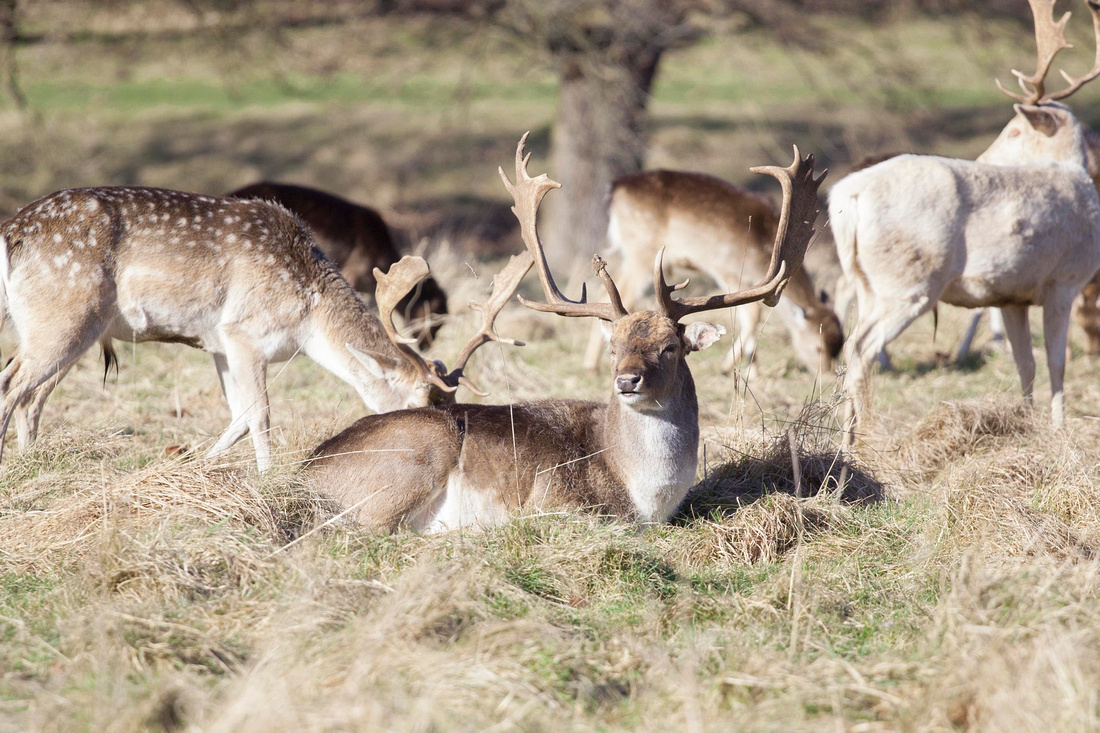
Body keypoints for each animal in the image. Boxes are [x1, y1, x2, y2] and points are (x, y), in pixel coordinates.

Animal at [585, 169, 840, 378]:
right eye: (818, 347)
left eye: (838, 347)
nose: (827, 373)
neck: (763, 250)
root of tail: (615, 188)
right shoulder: (728, 269)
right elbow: (752, 313)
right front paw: (732, 368)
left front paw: (751, 370)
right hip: (641, 250)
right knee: (622, 294)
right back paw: (592, 366)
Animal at [827, 0, 1100, 444]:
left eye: (1013, 130)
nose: (983, 157)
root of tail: (847, 196)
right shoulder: (1064, 279)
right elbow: (1056, 361)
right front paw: (1059, 430)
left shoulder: (1012, 295)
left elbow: (1026, 362)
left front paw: (1026, 423)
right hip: (910, 280)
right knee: (860, 347)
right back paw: (863, 438)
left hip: (869, 282)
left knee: (852, 341)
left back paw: (846, 437)